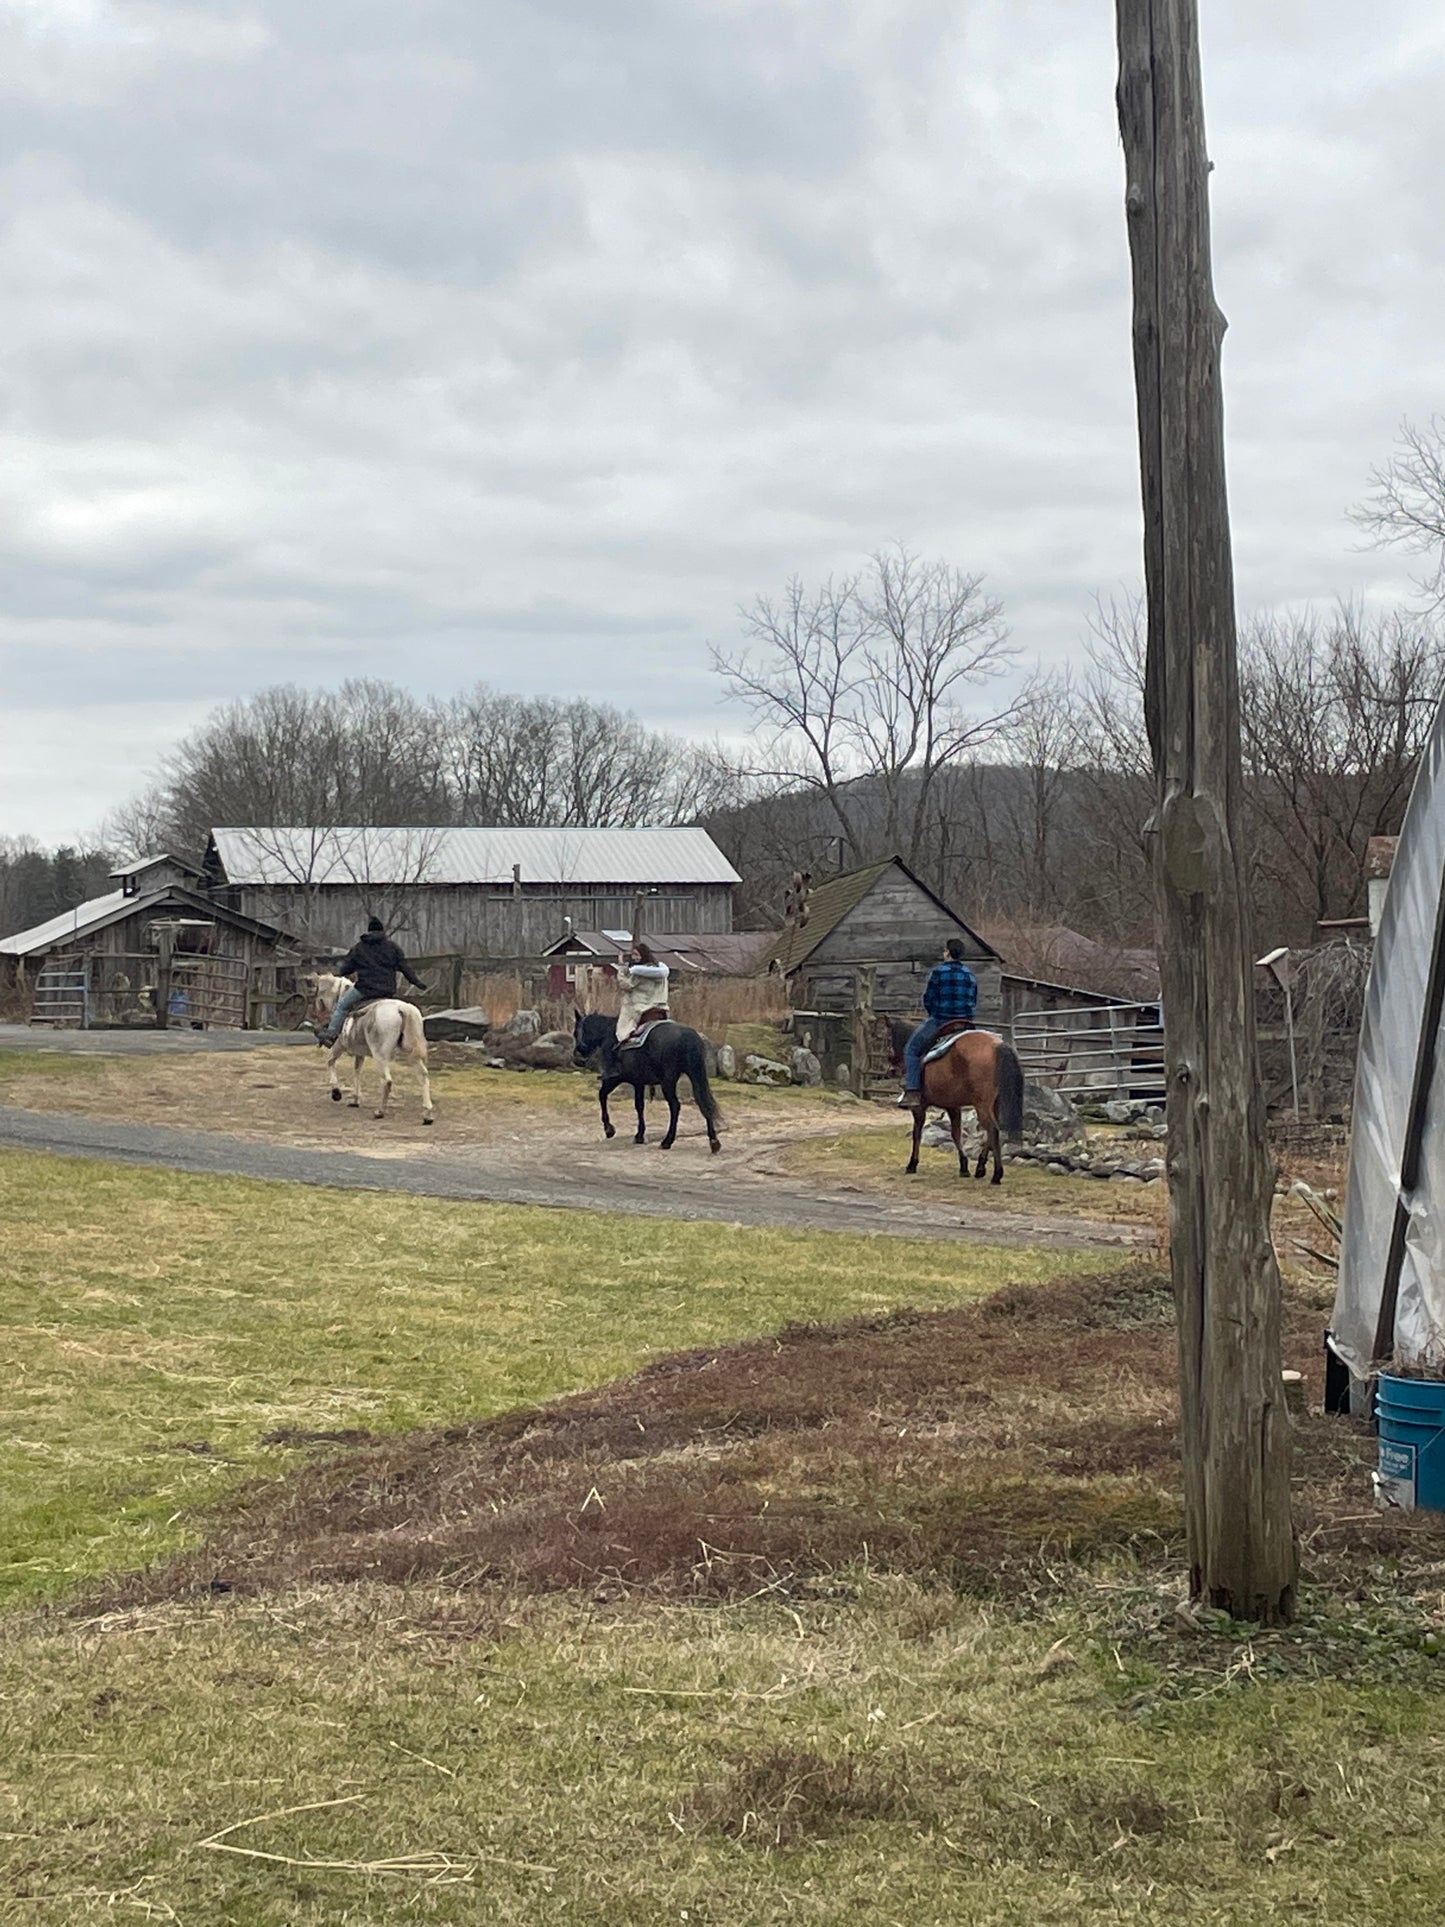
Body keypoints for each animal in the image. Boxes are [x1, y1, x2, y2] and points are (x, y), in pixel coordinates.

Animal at [306, 971, 435, 1125]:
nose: (317, 1024)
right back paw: (427, 1115)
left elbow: (330, 1061)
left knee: (387, 1081)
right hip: (411, 1053)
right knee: (423, 1076)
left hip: (380, 1056)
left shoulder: (339, 1046)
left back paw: (380, 1112)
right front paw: (355, 1100)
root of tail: (401, 1009)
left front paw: (336, 1093)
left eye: (316, 997)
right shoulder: (359, 1053)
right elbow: (357, 1072)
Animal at [574, 1017, 724, 1148]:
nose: (577, 1058)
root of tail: (689, 1036)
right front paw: (639, 1135)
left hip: (668, 1081)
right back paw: (714, 1142)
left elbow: (602, 1095)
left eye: (576, 1032)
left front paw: (609, 1130)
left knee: (675, 1106)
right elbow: (639, 1106)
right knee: (704, 1102)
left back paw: (667, 1141)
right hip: (695, 1074)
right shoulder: (638, 1082)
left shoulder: (615, 1078)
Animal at [901, 1032, 1024, 1179]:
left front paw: (912, 1165)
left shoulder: (919, 1107)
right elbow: (956, 1134)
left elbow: (917, 1134)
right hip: (994, 1104)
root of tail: (997, 1046)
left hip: (982, 1105)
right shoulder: (953, 1106)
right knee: (993, 1131)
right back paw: (980, 1167)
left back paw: (996, 1174)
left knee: (993, 1129)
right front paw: (964, 1166)